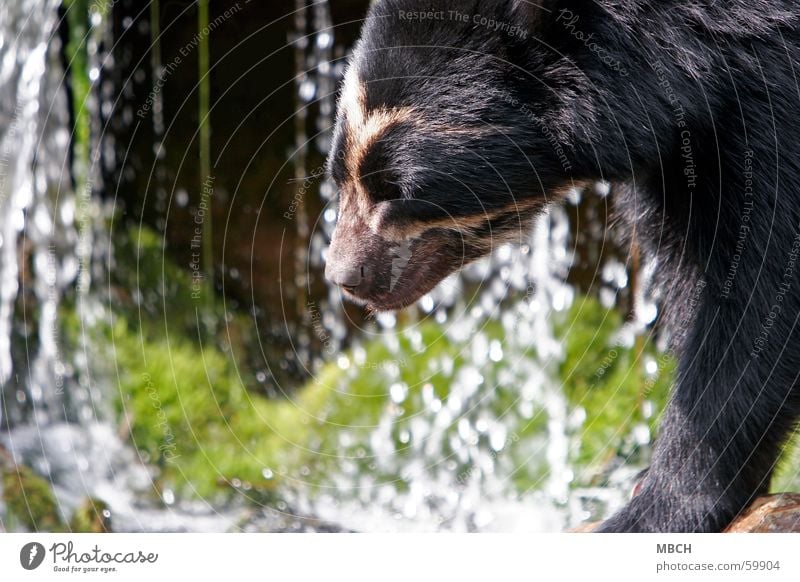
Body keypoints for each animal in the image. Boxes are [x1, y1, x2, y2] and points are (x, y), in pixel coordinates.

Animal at [322, 0, 800, 532]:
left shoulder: (768, 95)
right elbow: (693, 272)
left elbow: (762, 295)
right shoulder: (683, 149)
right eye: (338, 174)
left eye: (397, 191)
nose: (343, 276)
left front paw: (648, 512)